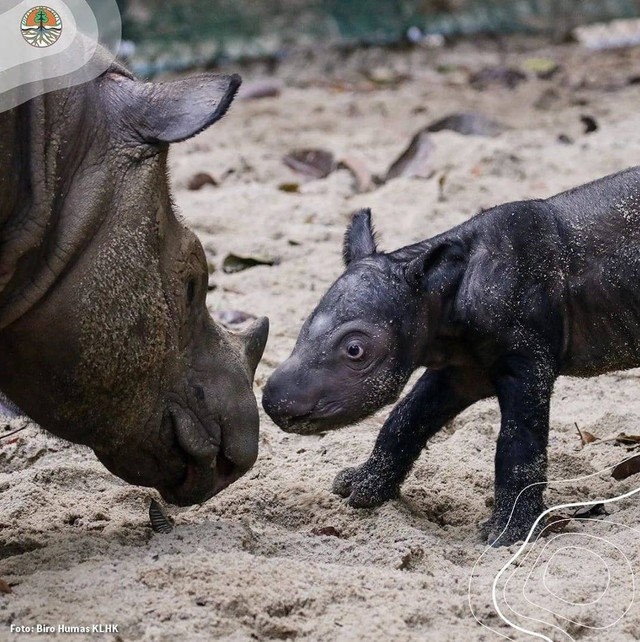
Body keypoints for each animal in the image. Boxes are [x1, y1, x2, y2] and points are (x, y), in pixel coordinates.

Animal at [264, 166, 640, 544]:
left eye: (355, 350)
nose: (274, 402)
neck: (441, 290)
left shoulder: (527, 359)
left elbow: (519, 443)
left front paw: (508, 534)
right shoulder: (463, 367)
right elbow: (406, 417)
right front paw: (363, 488)